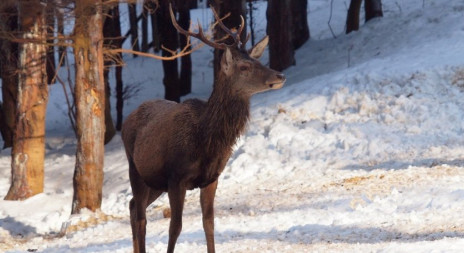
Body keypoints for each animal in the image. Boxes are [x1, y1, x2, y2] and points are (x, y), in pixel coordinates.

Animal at [121, 5, 284, 253]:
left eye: (259, 61)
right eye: (244, 66)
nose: (280, 75)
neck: (207, 140)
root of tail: (125, 121)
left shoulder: (211, 179)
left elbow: (209, 223)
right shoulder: (176, 177)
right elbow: (175, 227)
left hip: (154, 181)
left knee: (131, 207)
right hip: (135, 169)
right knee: (140, 217)